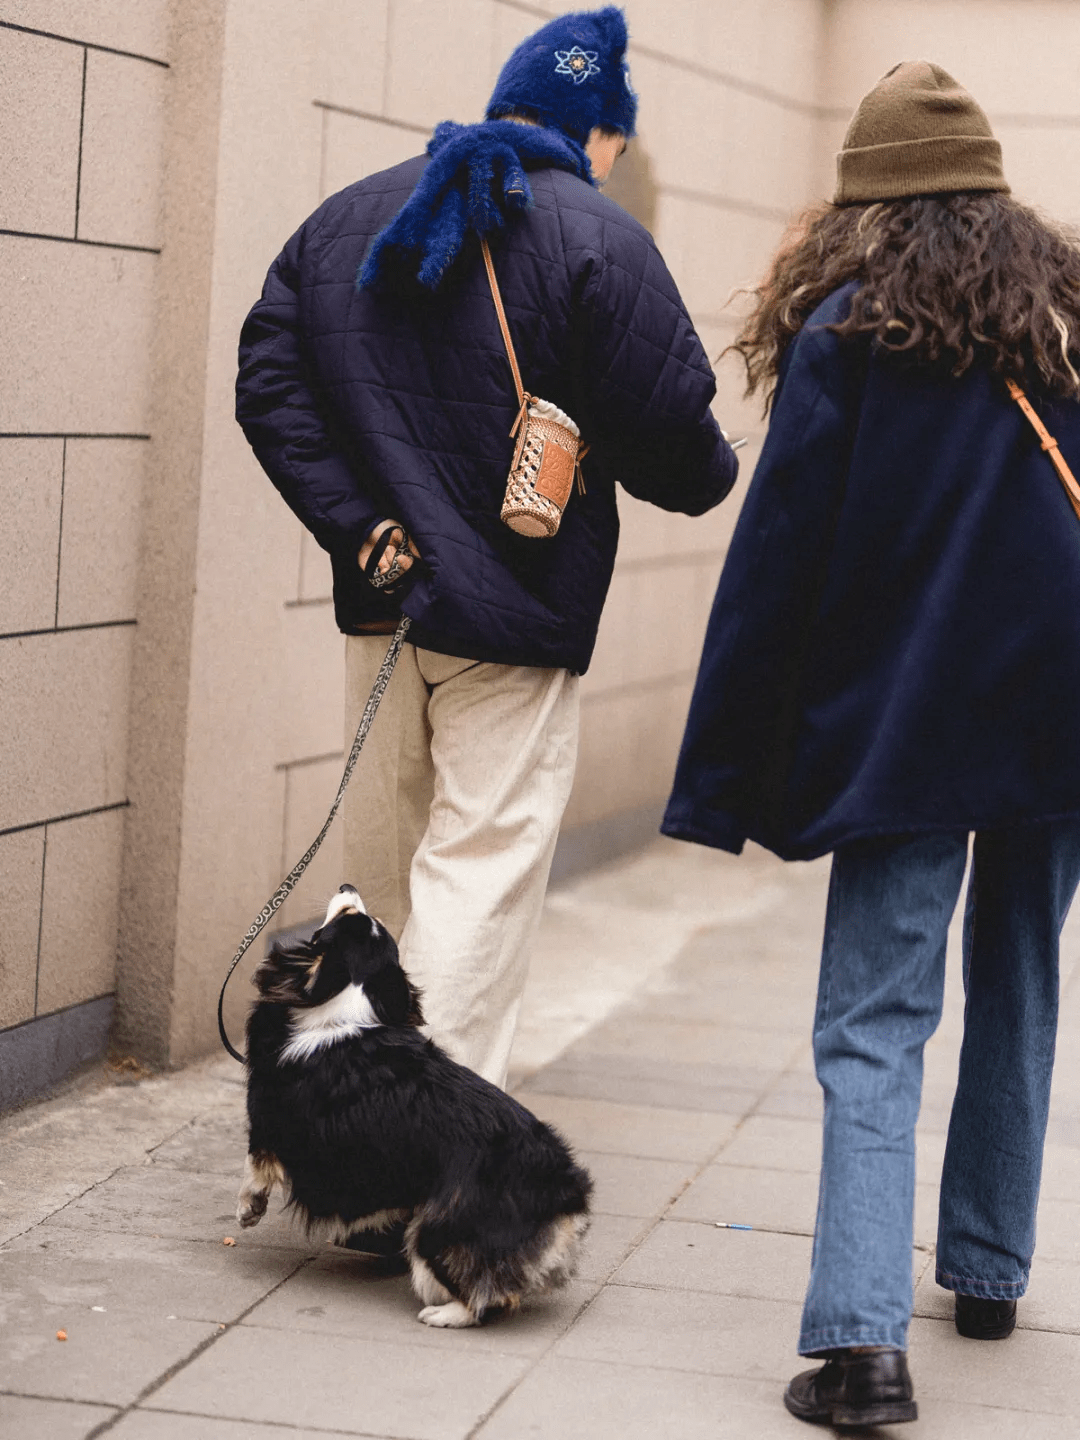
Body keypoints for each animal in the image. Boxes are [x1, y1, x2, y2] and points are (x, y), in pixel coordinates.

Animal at [236, 887, 593, 1324]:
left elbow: (254, 1167)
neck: (342, 1007)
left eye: (343, 917)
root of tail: (564, 1186)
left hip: (438, 1229)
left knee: (479, 1293)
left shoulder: (266, 1120)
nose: (347, 887)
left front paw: (248, 1209)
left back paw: (442, 1315)